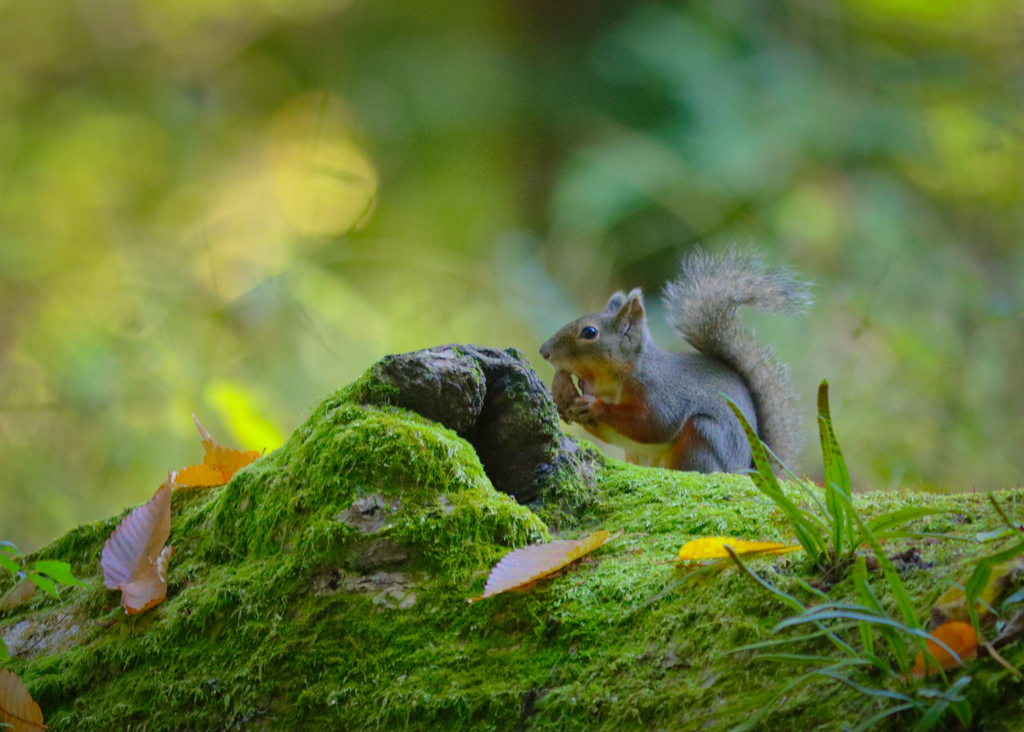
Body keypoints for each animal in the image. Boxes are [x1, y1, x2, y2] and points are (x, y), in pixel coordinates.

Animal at [540, 248, 811, 472]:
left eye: (589, 332)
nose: (543, 351)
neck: (610, 380)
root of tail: (747, 472)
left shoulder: (661, 393)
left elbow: (653, 424)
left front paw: (594, 406)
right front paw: (563, 404)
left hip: (702, 438)